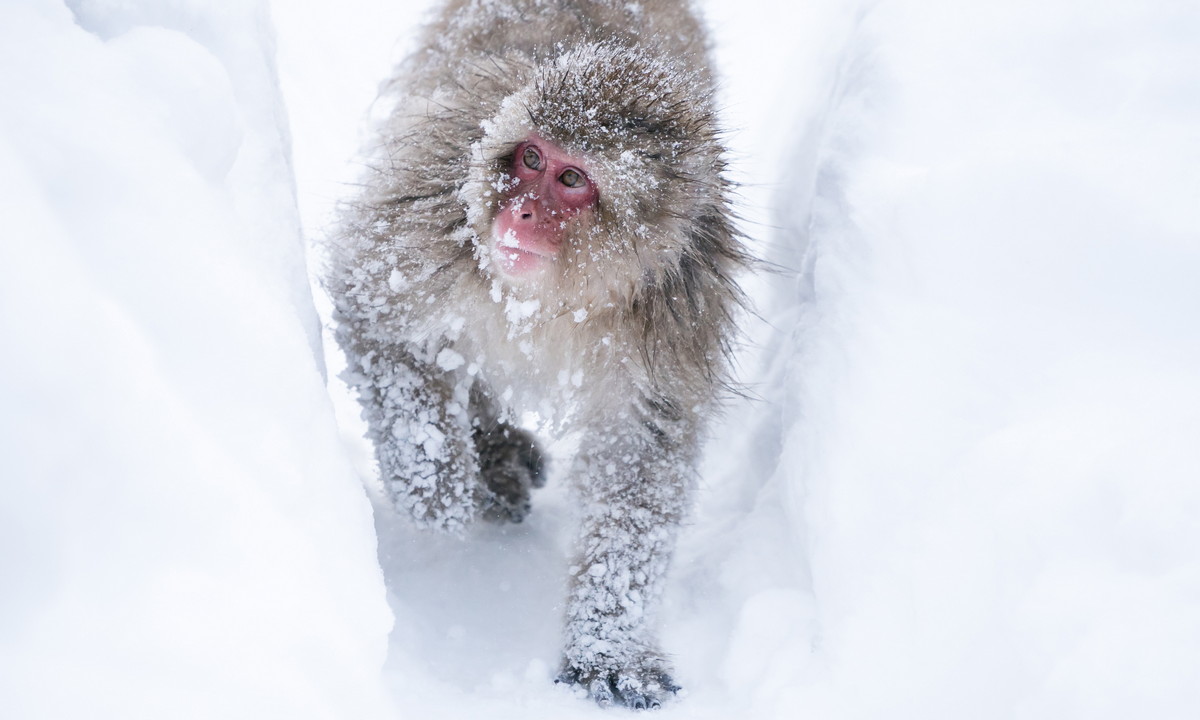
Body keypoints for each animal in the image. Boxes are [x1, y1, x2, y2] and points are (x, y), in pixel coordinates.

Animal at [324, 0, 744, 710]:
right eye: (528, 157)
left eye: (570, 179)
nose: (519, 213)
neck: (561, 296)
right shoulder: (435, 202)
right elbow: (374, 316)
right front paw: (435, 487)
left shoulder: (679, 307)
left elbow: (640, 462)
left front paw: (610, 644)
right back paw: (486, 455)